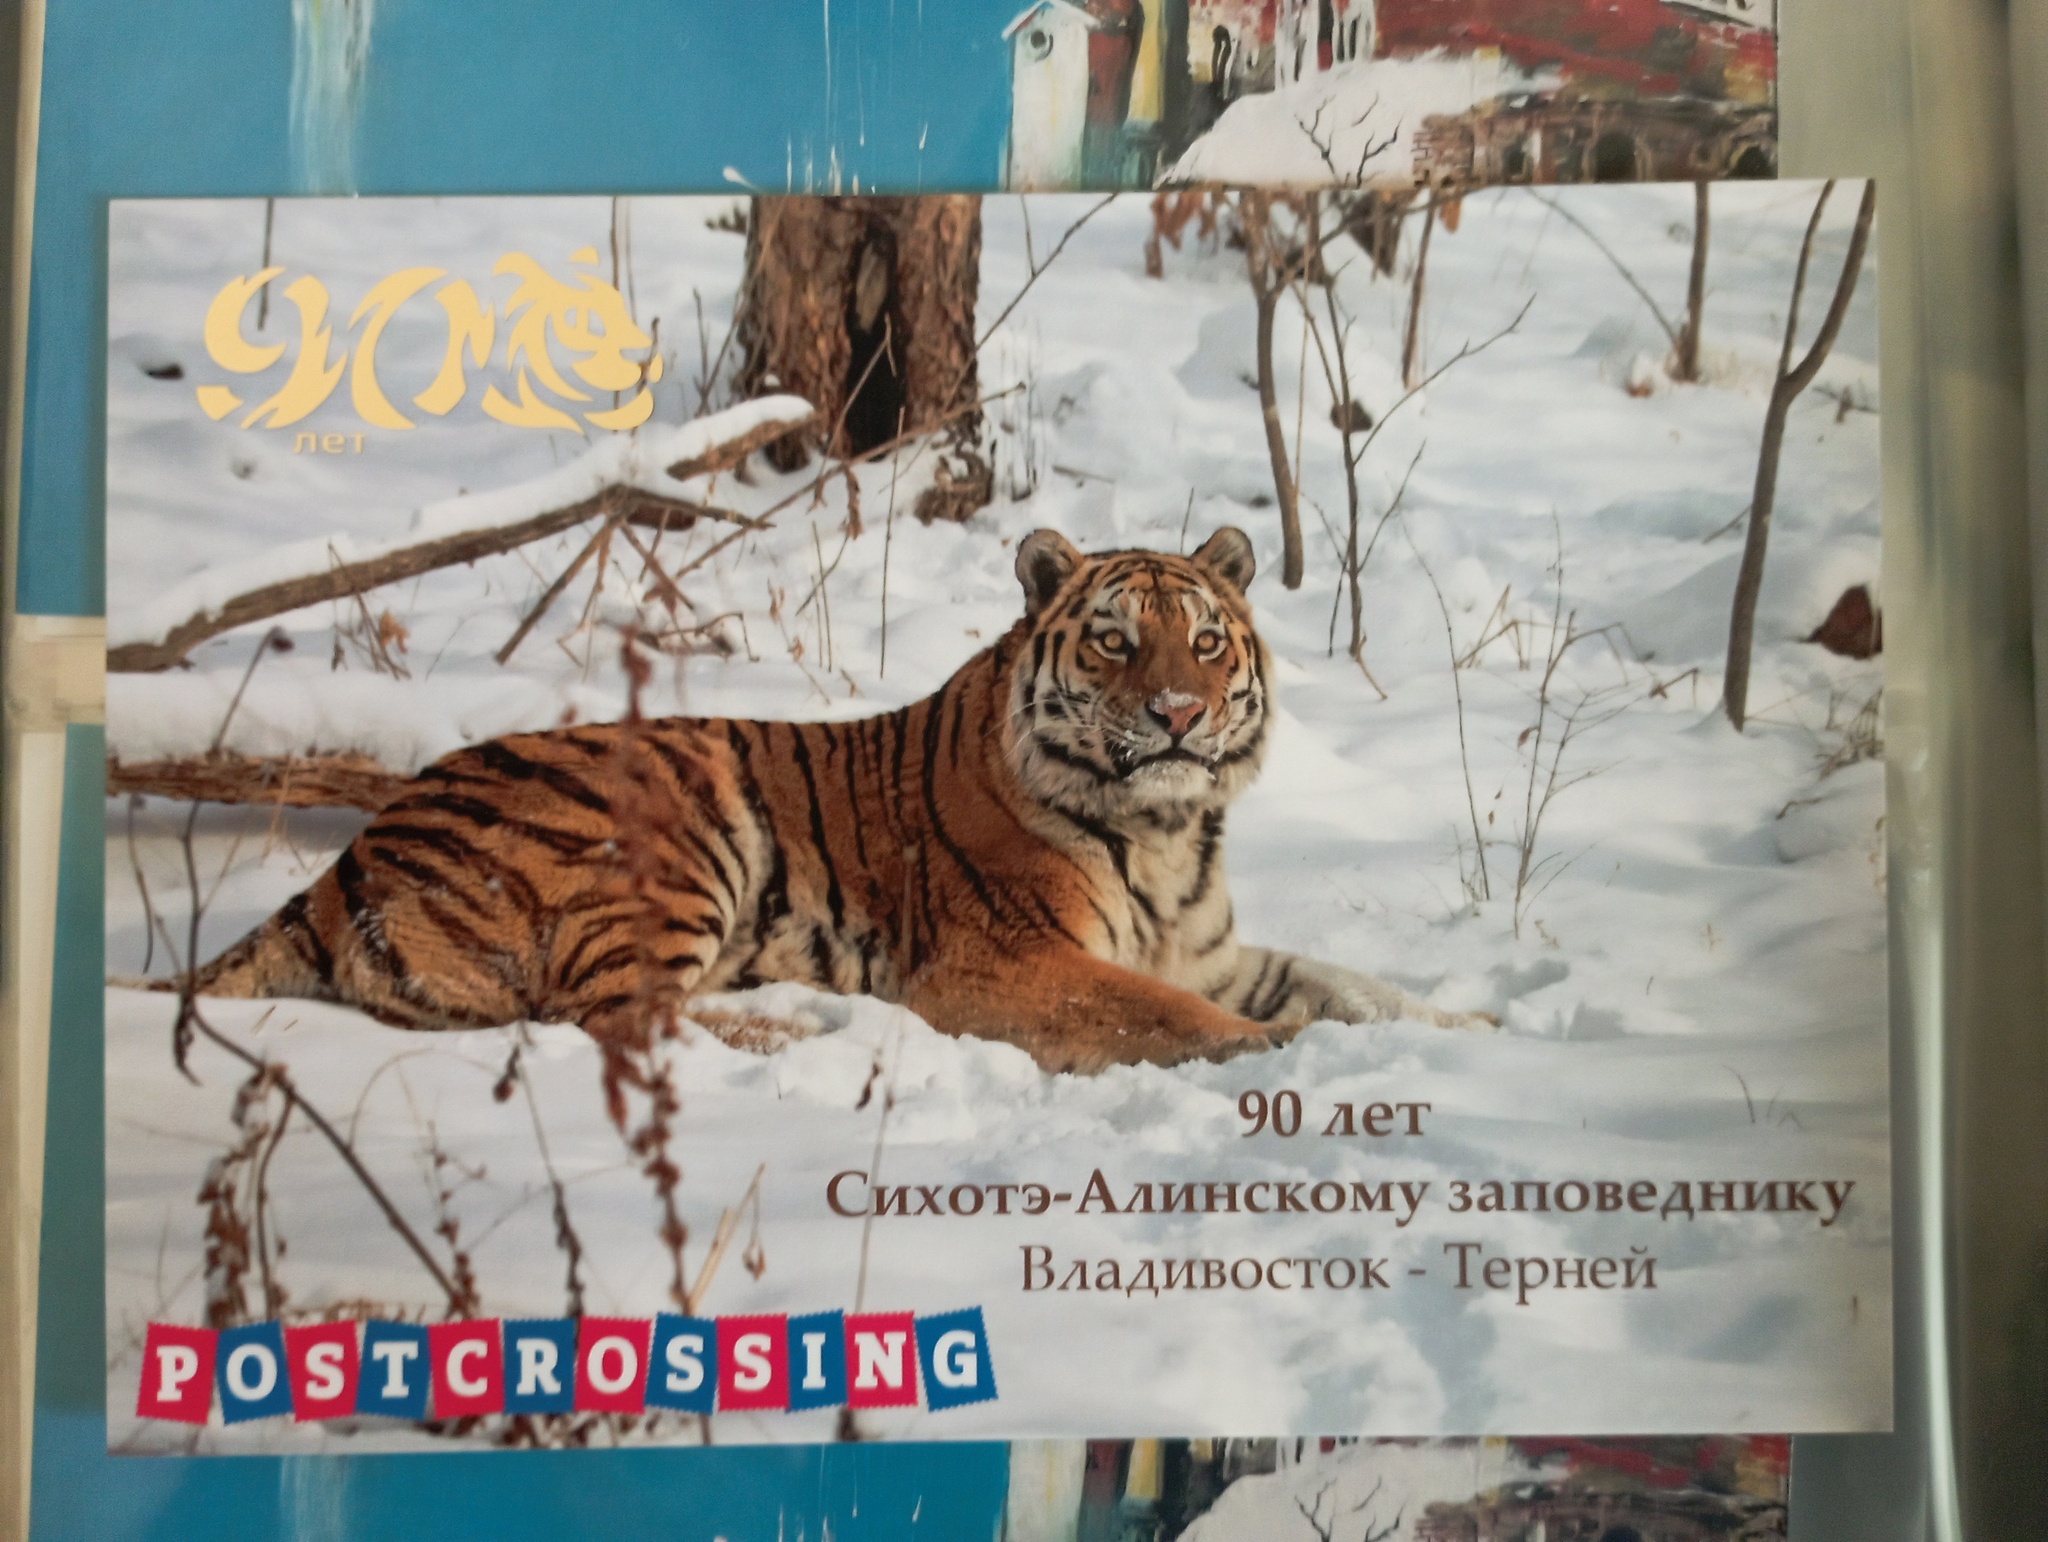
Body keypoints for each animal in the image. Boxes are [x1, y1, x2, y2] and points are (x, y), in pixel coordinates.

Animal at [174, 526, 1490, 1073]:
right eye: (1115, 641)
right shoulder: (1004, 961)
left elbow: (1353, 986)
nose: (1175, 713)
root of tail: (352, 853)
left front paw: (1474, 1034)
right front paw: (1270, 1059)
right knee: (608, 1016)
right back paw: (798, 1029)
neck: (1167, 832)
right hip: (678, 822)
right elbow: (1162, 1016)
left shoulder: (1206, 950)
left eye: (1206, 642)